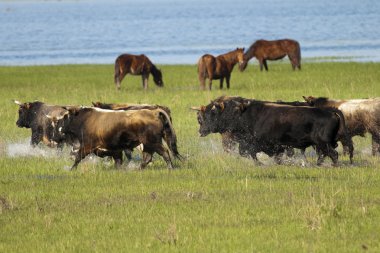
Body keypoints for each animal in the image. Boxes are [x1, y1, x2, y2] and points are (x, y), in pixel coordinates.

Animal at [196, 98, 354, 165]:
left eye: (212, 114)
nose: (201, 131)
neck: (243, 114)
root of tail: (331, 111)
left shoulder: (259, 143)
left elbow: (250, 153)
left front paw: (261, 163)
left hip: (323, 143)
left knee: (333, 154)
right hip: (323, 144)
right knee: (326, 154)